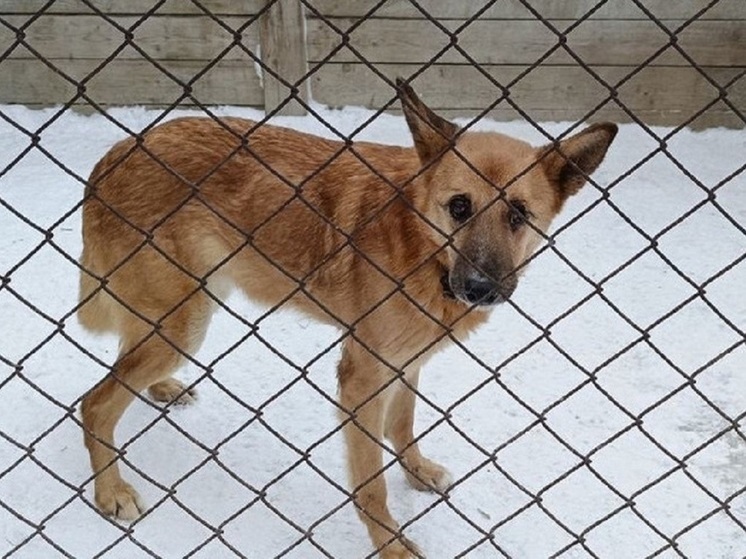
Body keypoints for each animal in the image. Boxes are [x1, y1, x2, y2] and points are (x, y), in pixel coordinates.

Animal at [78, 80, 616, 559]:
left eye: (519, 216)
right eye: (460, 206)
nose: (480, 289)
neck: (422, 244)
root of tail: (112, 156)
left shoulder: (405, 362)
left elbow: (403, 425)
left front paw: (417, 470)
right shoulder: (362, 379)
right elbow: (371, 484)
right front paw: (391, 545)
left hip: (190, 304)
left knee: (128, 358)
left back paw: (161, 388)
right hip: (185, 322)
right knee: (96, 403)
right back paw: (110, 492)